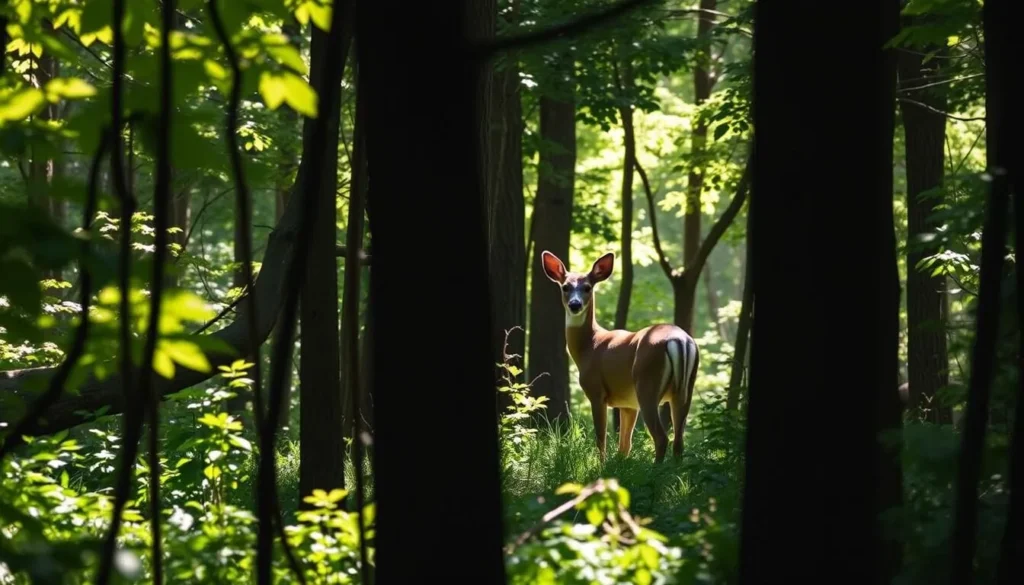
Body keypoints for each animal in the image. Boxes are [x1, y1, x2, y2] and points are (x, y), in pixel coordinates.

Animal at [539, 250, 700, 464]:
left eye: (587, 287)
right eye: (565, 287)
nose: (575, 304)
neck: (589, 346)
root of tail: (679, 340)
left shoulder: (596, 392)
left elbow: (601, 437)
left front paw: (600, 465)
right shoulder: (628, 404)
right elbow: (625, 446)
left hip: (647, 383)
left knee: (661, 437)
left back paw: (656, 468)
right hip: (684, 390)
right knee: (679, 440)